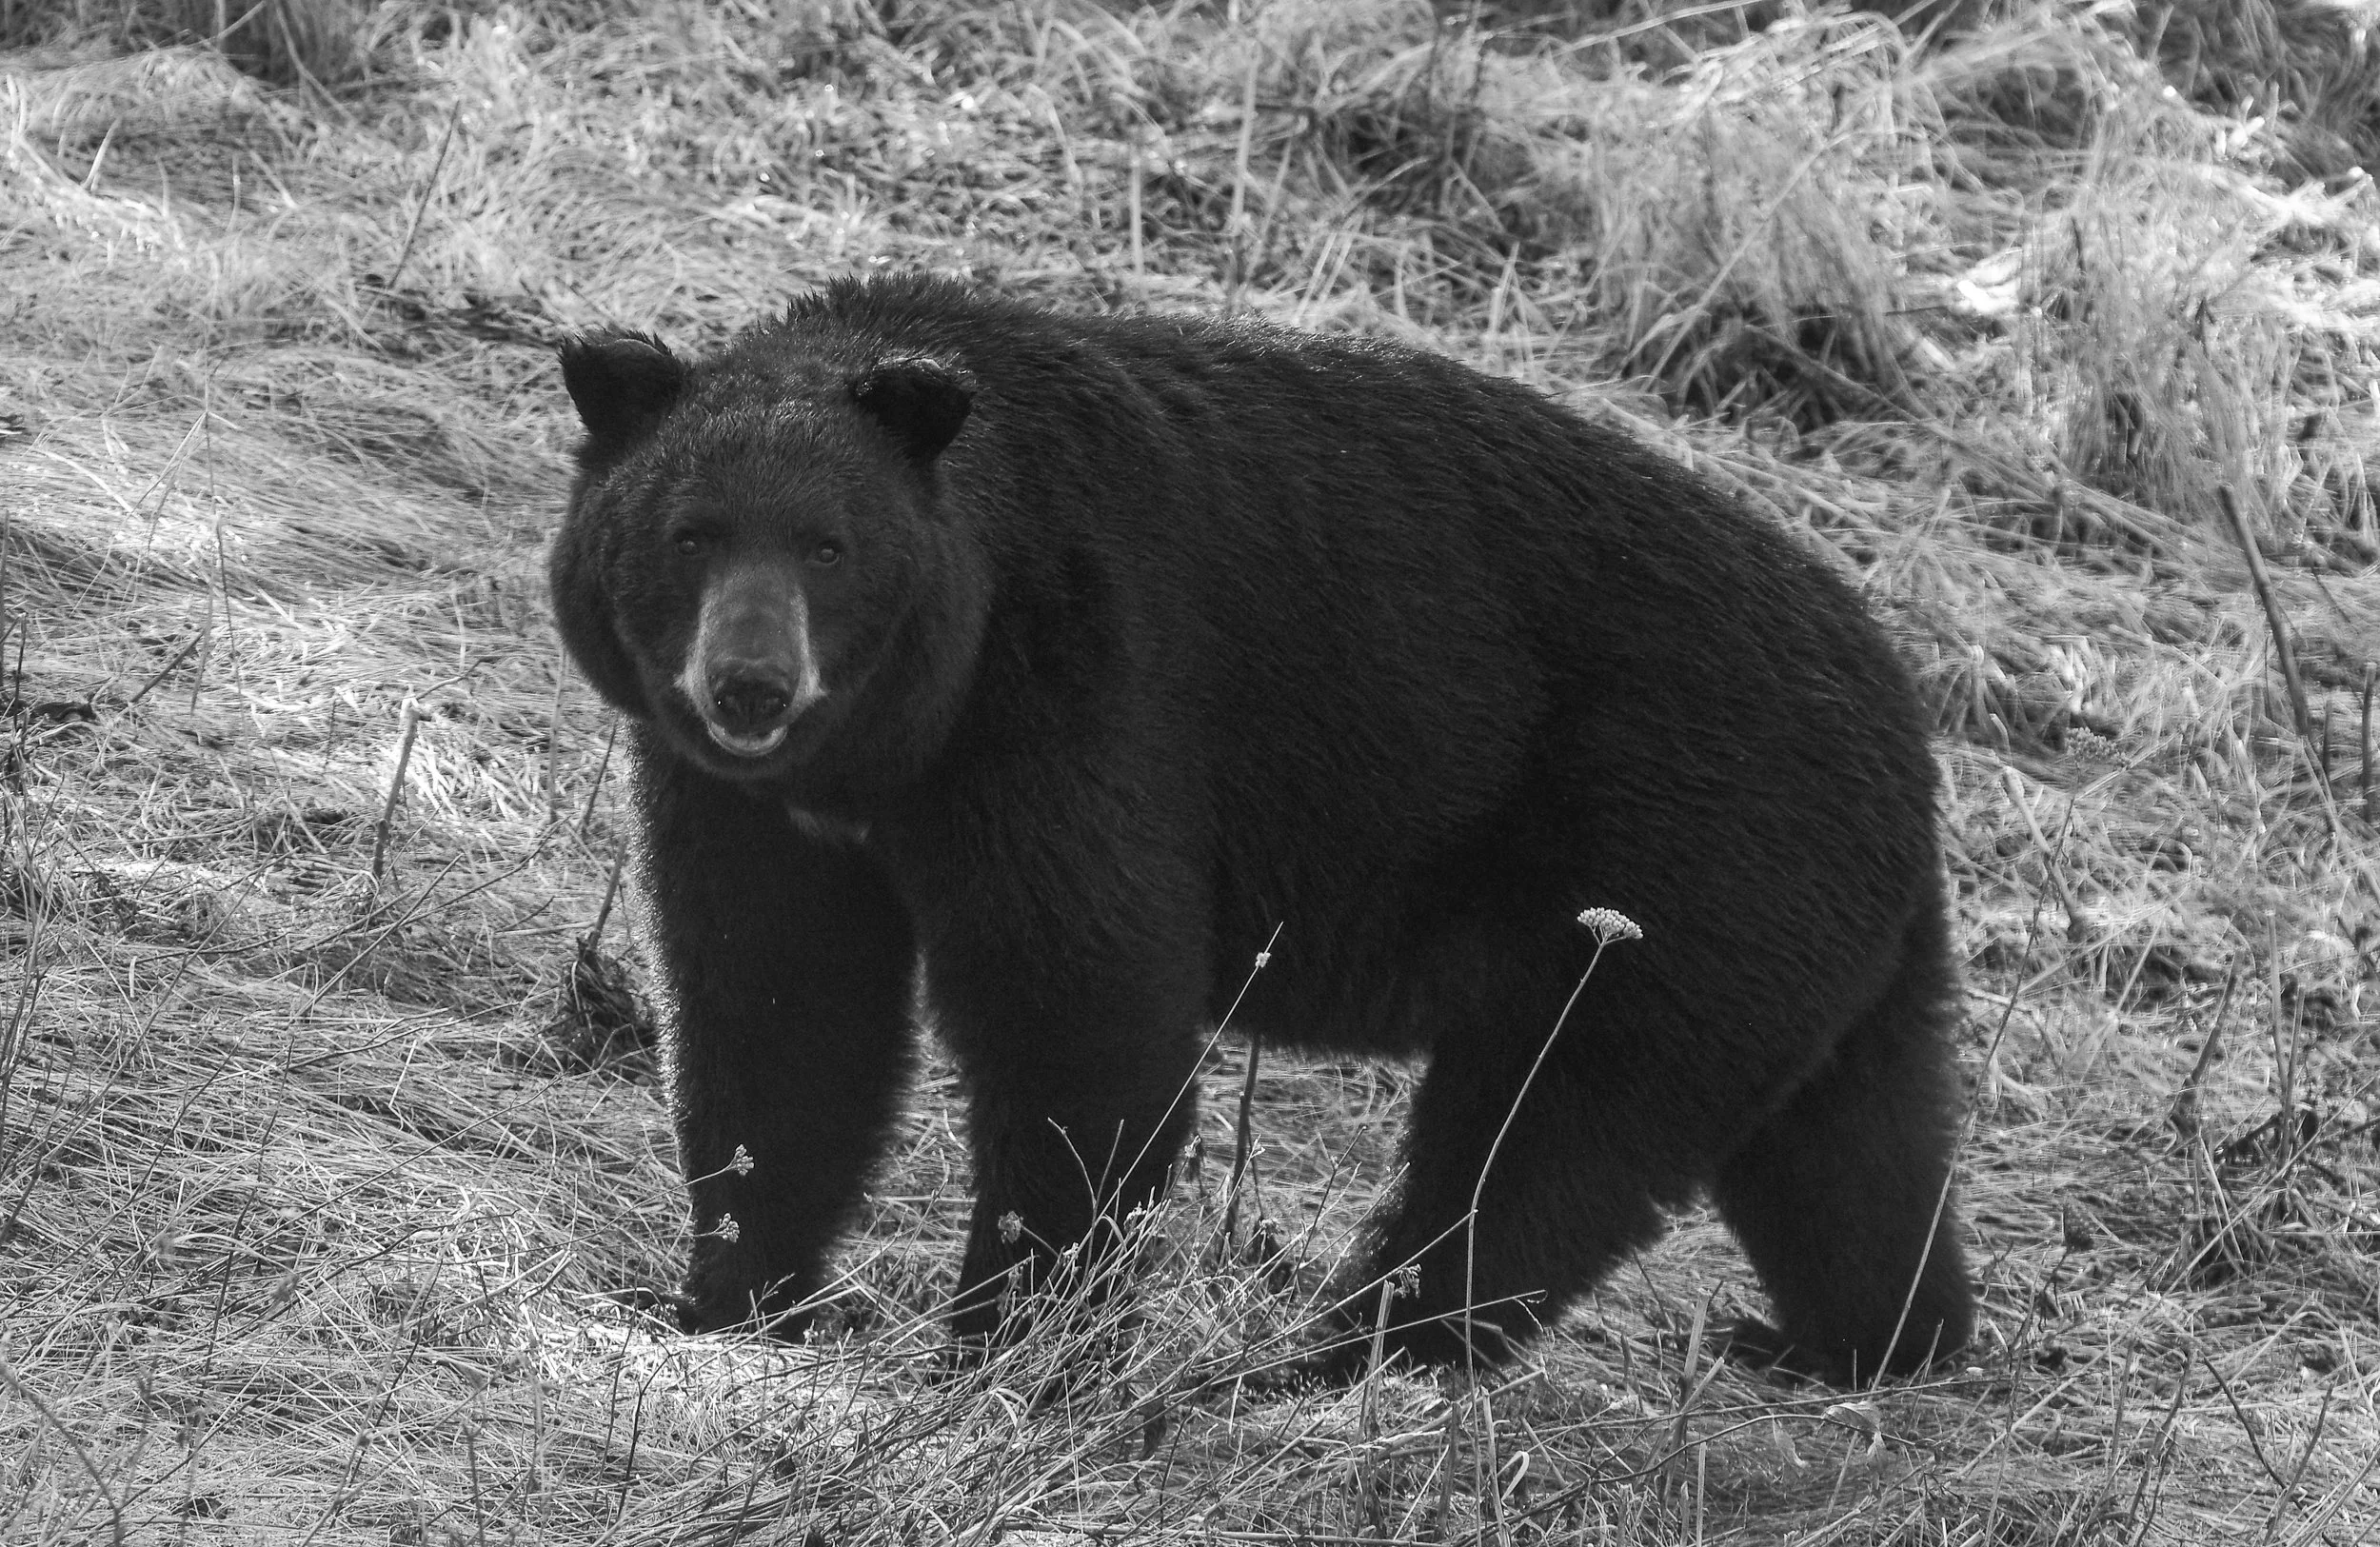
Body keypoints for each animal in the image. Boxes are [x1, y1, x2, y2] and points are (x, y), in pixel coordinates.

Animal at [548, 273, 1974, 1386]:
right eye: (689, 533)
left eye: (830, 547)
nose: (748, 683)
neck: (893, 744)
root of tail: (1910, 730)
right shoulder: (754, 808)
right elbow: (781, 1007)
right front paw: (739, 1292)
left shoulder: (1074, 699)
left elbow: (1079, 1011)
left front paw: (1007, 1328)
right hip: (1804, 939)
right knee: (1852, 1151)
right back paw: (1864, 1337)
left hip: (1670, 877)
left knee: (1537, 1146)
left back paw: (1340, 1351)